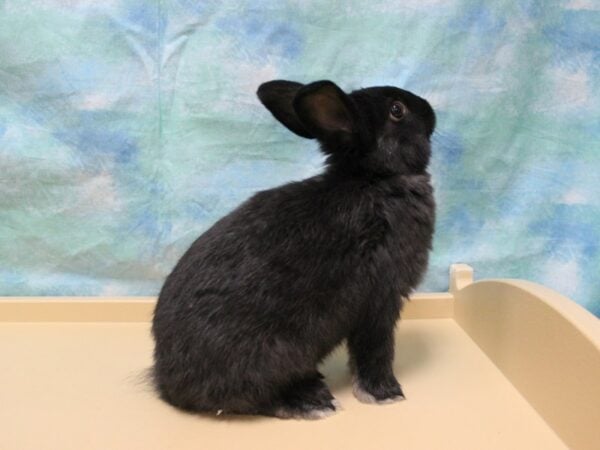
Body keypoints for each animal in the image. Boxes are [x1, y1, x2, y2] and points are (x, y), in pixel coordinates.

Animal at [151, 79, 436, 420]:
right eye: (397, 110)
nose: (430, 110)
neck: (374, 180)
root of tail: (166, 382)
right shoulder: (380, 300)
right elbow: (375, 351)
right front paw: (387, 394)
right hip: (270, 354)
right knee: (250, 397)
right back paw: (312, 401)